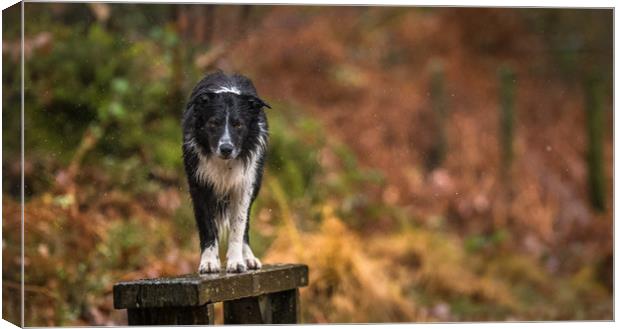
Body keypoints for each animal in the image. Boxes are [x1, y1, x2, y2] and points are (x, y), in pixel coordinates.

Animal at [183, 71, 272, 272]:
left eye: (238, 125)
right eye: (213, 123)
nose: (226, 148)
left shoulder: (244, 186)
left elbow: (238, 227)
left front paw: (237, 261)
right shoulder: (199, 186)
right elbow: (207, 227)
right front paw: (209, 262)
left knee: (245, 224)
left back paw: (248, 258)